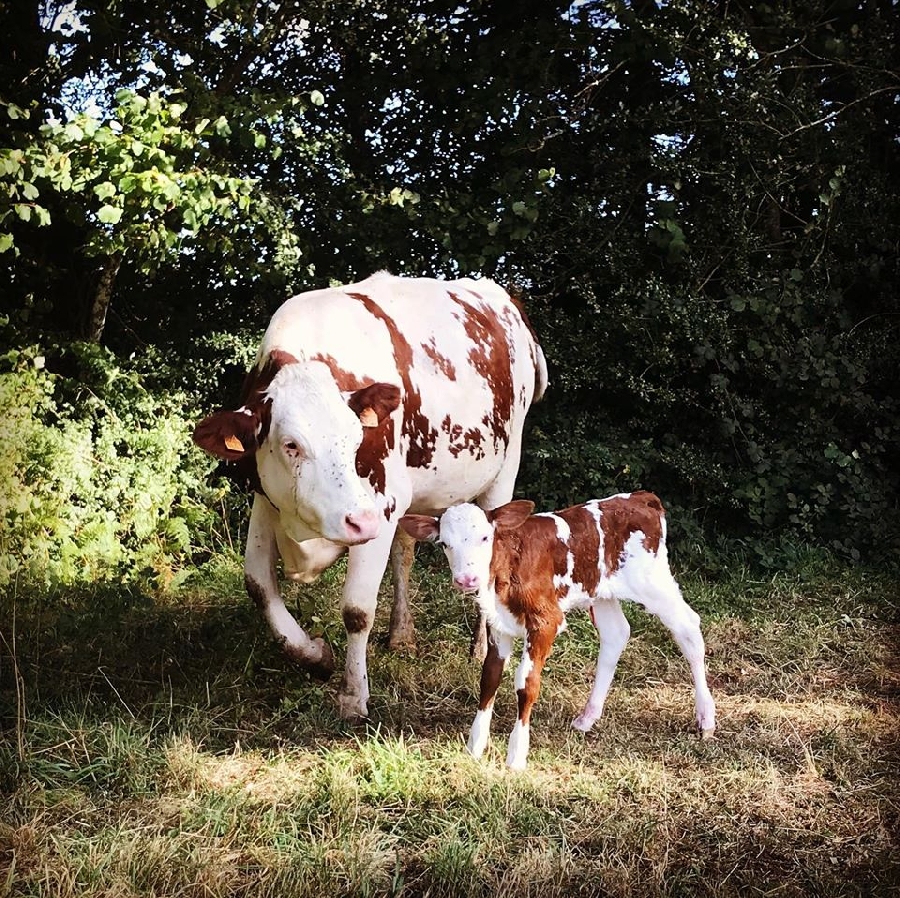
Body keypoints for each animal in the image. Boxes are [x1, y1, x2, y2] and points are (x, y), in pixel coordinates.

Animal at [193, 270, 548, 716]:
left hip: (504, 468)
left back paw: (482, 648)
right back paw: (401, 634)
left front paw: (353, 694)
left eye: (355, 437)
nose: (358, 520)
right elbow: (259, 586)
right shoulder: (267, 499)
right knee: (404, 553)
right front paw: (315, 655)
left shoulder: (380, 506)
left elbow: (357, 610)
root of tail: (501, 295)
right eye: (291, 445)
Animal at [400, 494, 716, 768]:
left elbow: (526, 683)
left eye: (485, 538)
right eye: (444, 543)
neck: (506, 566)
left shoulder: (545, 620)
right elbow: (489, 677)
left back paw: (706, 718)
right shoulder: (498, 624)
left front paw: (516, 756)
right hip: (600, 591)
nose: (467, 579)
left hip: (652, 582)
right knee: (616, 634)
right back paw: (588, 717)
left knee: (689, 627)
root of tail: (640, 497)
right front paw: (474, 746)